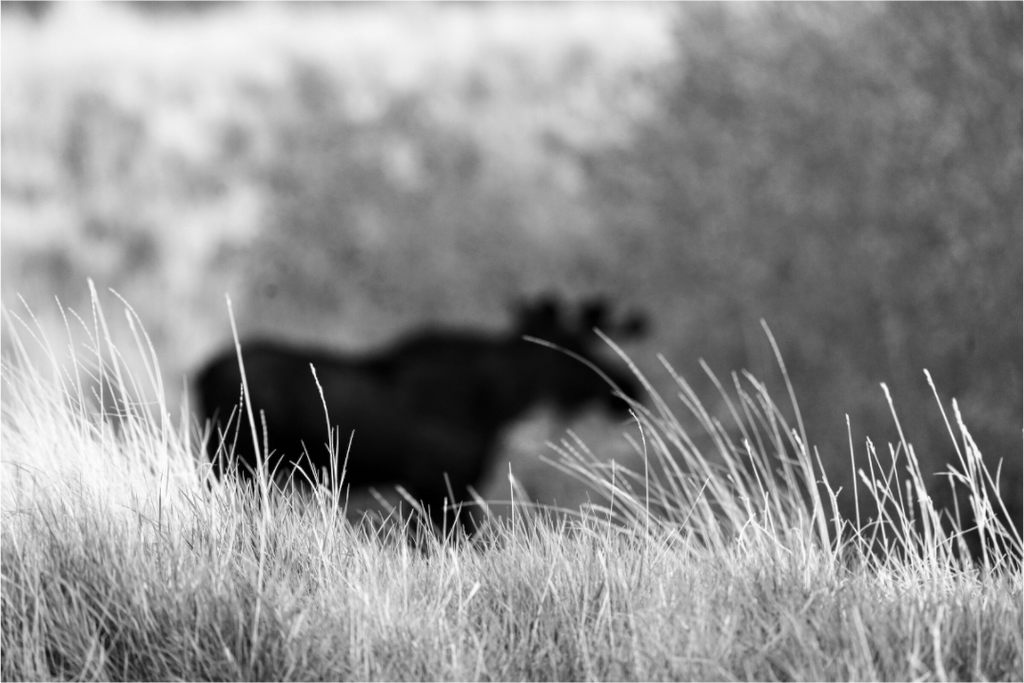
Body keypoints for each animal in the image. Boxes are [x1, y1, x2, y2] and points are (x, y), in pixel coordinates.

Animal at [194, 295, 646, 536]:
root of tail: (201, 374)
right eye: (576, 349)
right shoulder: (440, 484)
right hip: (235, 459)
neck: (496, 402)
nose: (628, 389)